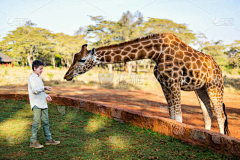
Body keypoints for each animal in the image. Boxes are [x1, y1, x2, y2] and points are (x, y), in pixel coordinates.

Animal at [64, 33, 230, 135]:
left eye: (82, 60)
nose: (67, 75)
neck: (157, 53)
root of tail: (219, 69)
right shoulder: (165, 84)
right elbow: (172, 117)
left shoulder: (174, 82)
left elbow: (178, 118)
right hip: (200, 89)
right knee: (208, 115)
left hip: (215, 86)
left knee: (221, 116)